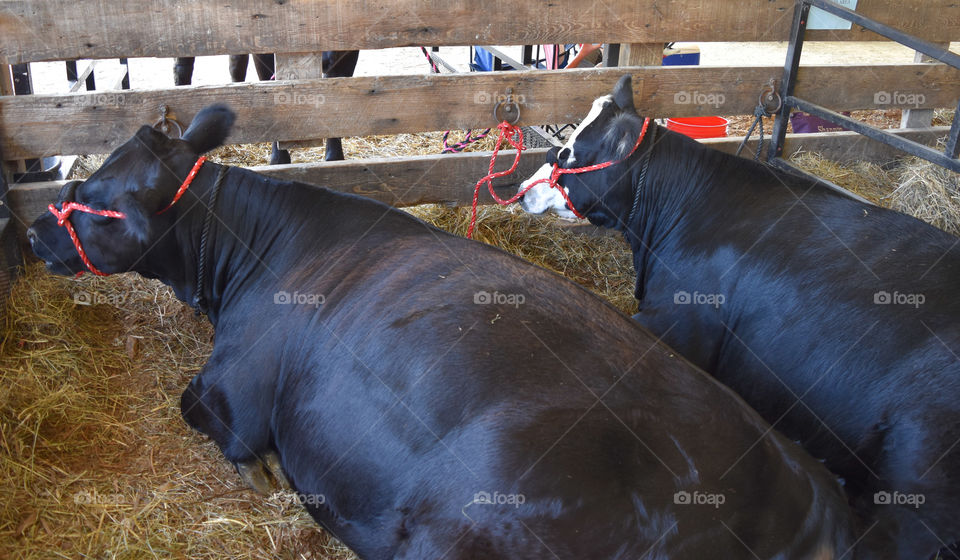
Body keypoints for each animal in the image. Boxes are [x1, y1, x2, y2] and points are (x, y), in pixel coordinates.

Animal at [28, 106, 864, 560]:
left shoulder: (233, 385)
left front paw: (260, 471)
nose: (33, 228)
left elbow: (203, 414)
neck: (247, 256)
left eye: (101, 196)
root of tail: (801, 501)